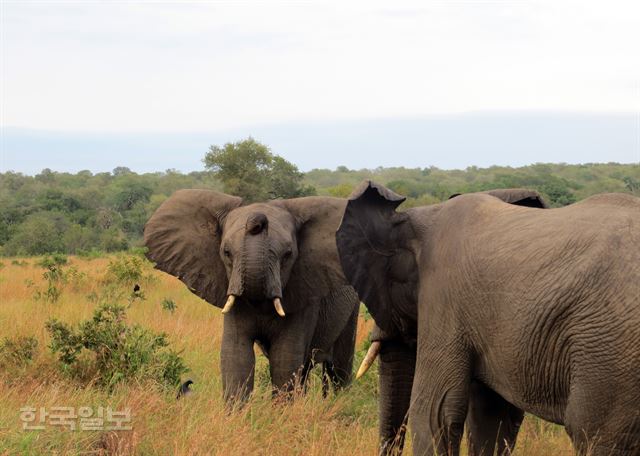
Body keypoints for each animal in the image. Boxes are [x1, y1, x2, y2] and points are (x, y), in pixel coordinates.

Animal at [144, 191, 360, 404]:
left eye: (288, 254)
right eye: (226, 253)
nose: (258, 220)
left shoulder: (303, 295)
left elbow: (285, 359)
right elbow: (236, 355)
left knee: (339, 368)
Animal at [338, 182, 636, 456]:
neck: (417, 217)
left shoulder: (443, 299)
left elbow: (433, 411)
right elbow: (492, 419)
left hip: (609, 351)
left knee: (594, 434)